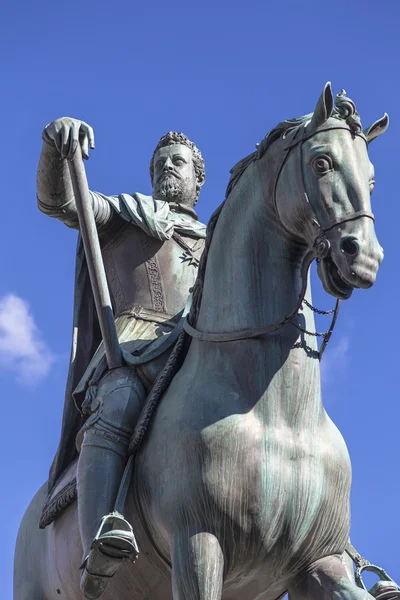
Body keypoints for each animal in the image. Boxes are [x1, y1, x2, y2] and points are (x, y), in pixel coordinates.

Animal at [14, 83, 388, 600]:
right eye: (321, 163)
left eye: (371, 180)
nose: (364, 256)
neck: (278, 414)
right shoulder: (198, 543)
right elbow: (70, 205)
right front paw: (65, 131)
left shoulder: (320, 562)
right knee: (113, 412)